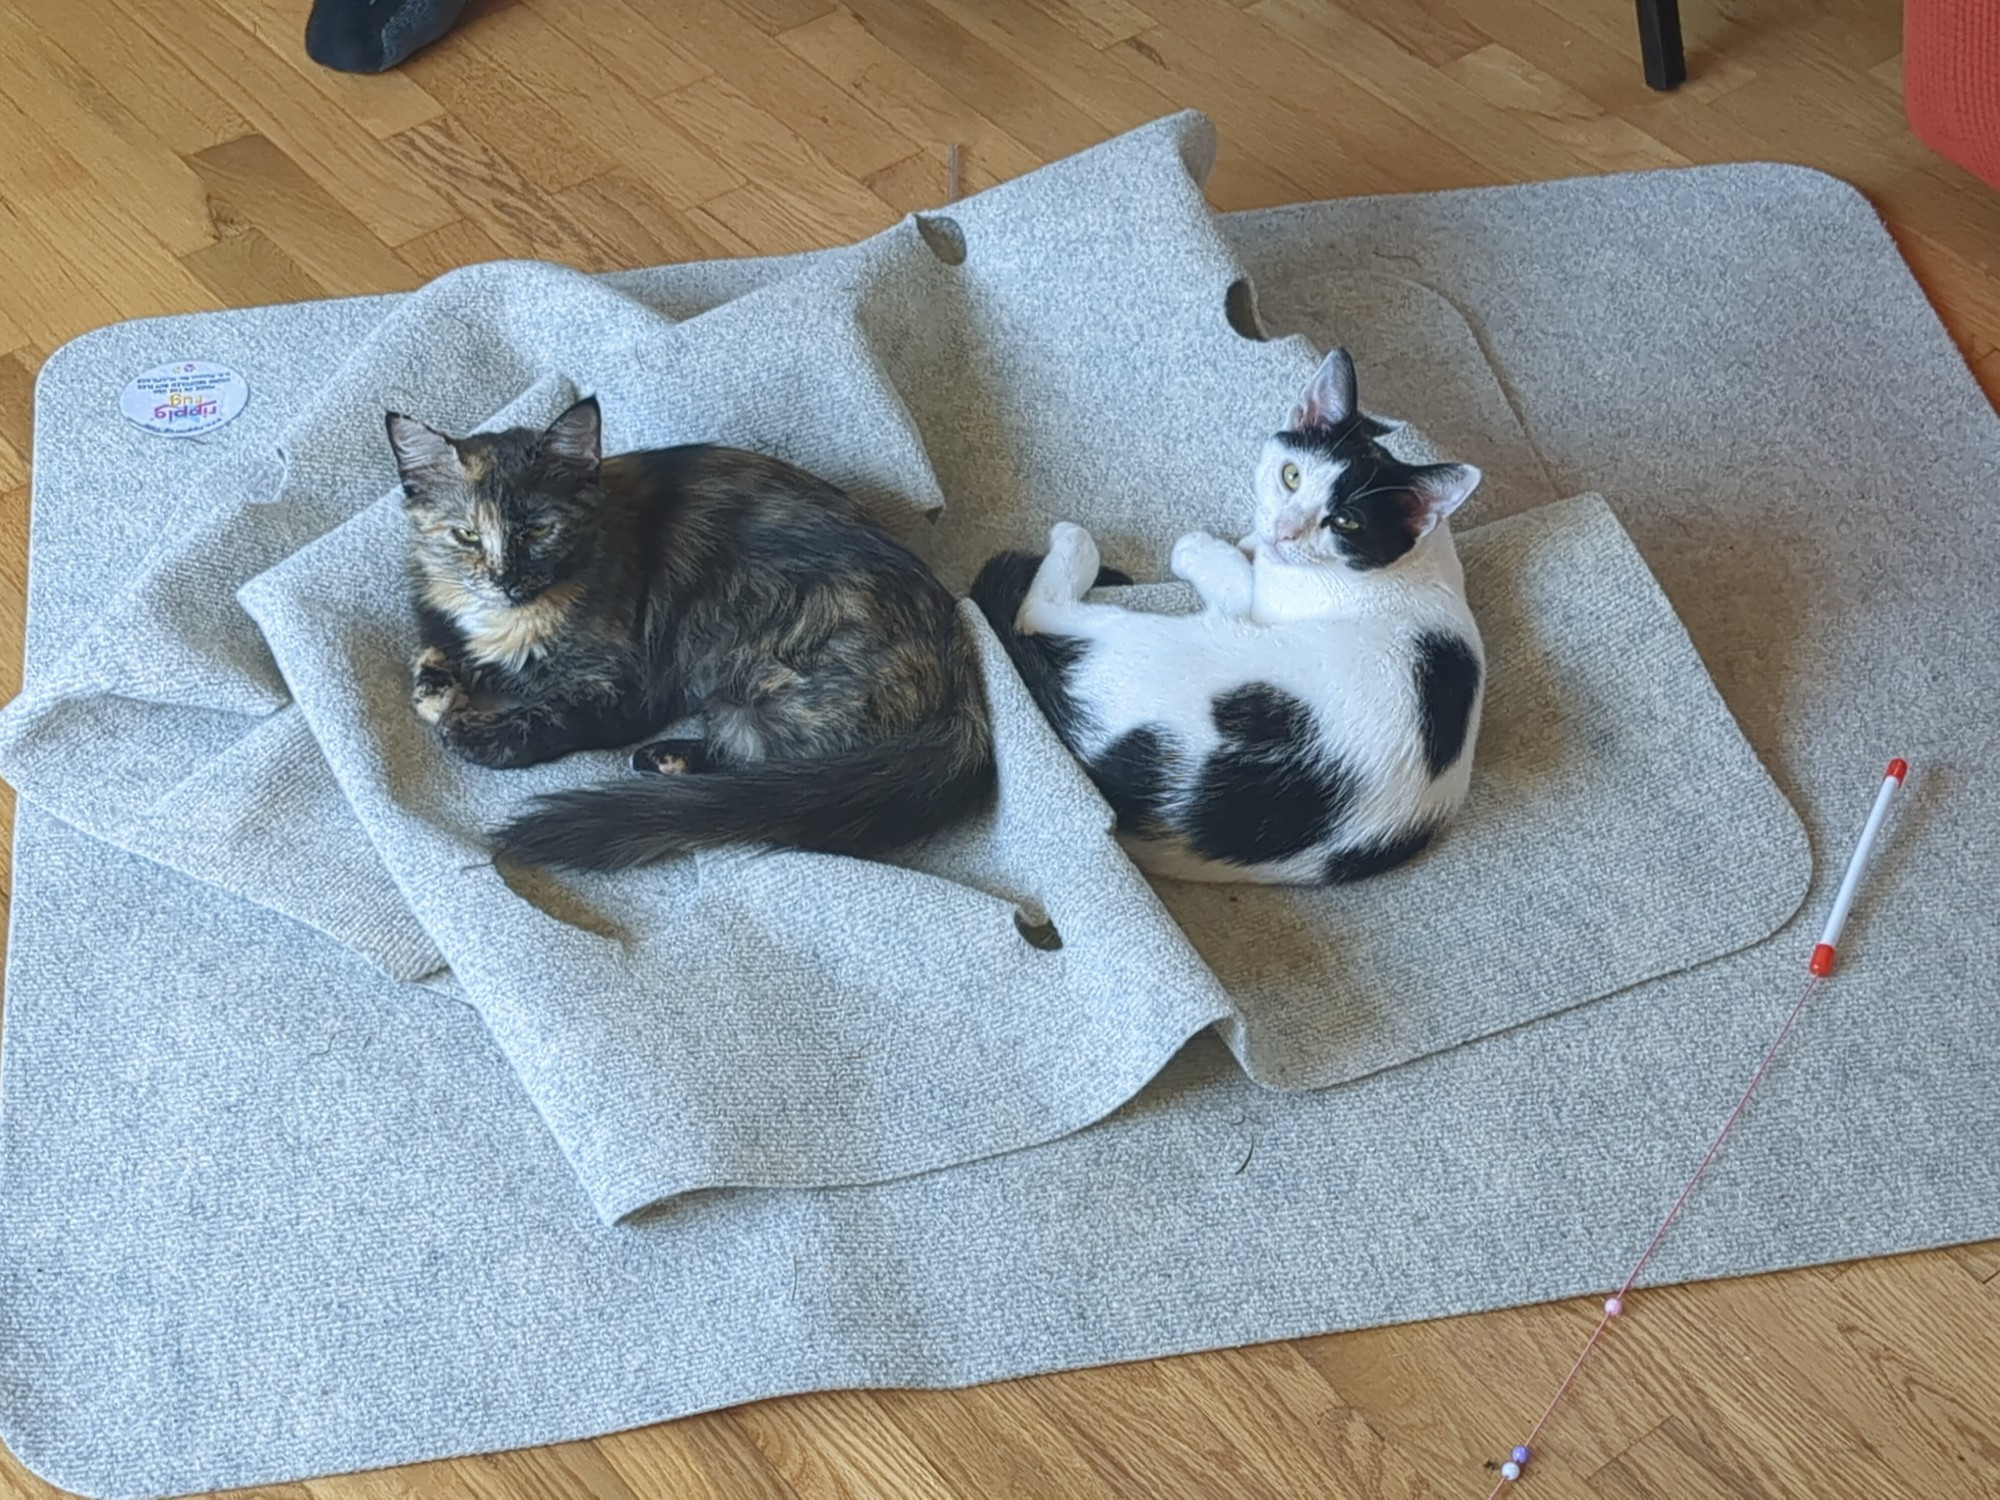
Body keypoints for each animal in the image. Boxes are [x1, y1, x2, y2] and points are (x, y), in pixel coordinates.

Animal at [382, 400, 992, 868]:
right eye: (465, 535)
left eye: (536, 530)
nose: (505, 580)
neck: (512, 619)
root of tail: (958, 654)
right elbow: (434, 646)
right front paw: (436, 690)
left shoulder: (622, 688)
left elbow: (551, 715)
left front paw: (475, 733)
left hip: (763, 658)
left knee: (785, 766)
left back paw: (668, 763)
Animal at [968, 350, 1488, 892]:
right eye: (1291, 475)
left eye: (1346, 521)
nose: (1283, 532)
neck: (1405, 565)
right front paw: (1249, 538)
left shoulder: (1263, 604)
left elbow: (1239, 582)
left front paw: (1204, 549)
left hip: (1155, 640)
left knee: (1037, 612)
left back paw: (1075, 543)